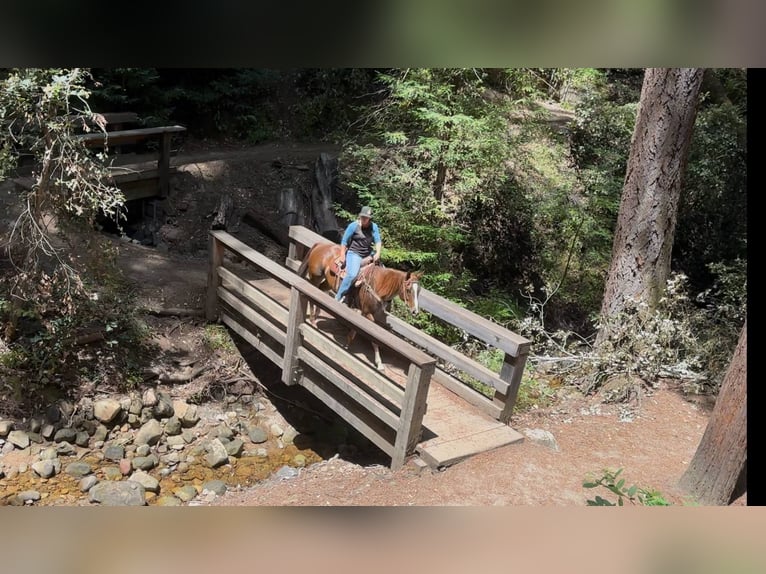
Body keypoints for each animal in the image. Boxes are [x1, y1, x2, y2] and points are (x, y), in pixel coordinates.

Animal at [297, 241, 422, 370]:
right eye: (408, 290)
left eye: (419, 291)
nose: (415, 311)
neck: (379, 285)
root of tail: (321, 244)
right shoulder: (367, 313)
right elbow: (373, 339)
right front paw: (378, 363)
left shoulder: (371, 314)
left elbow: (357, 332)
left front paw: (348, 344)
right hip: (315, 277)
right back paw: (312, 320)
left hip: (327, 282)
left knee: (321, 290)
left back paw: (317, 315)